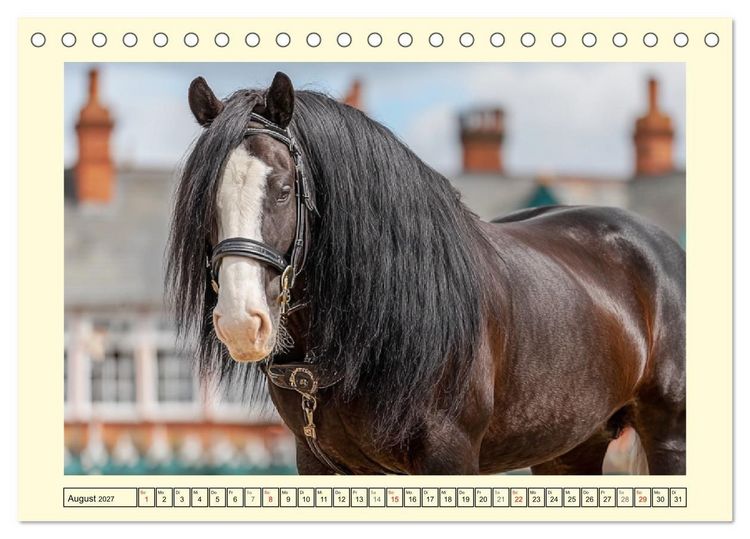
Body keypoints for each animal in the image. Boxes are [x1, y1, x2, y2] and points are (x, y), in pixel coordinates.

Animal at [166, 72, 686, 475]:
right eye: (203, 198)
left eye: (283, 188)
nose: (240, 321)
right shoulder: (320, 463)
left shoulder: (448, 455)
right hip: (569, 448)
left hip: (669, 437)